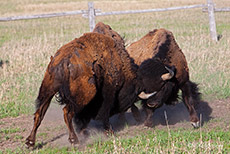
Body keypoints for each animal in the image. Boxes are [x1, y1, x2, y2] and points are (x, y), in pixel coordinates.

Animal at [25, 31, 173, 147]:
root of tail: (64, 60)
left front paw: (85, 130)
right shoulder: (108, 94)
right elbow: (104, 112)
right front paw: (109, 131)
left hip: (48, 91)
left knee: (39, 114)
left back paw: (30, 142)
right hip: (83, 95)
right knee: (67, 112)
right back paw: (74, 140)